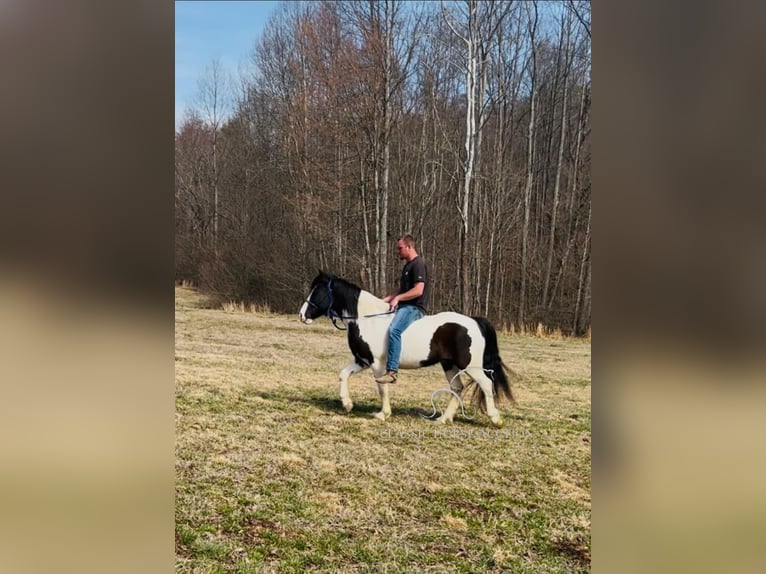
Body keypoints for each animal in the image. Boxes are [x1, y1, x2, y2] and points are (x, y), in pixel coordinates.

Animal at [300, 272, 516, 428]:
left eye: (317, 292)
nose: (302, 315)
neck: (367, 319)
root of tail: (474, 321)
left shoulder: (378, 365)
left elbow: (382, 388)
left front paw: (382, 414)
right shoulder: (362, 360)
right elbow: (343, 374)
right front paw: (347, 404)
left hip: (471, 366)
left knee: (486, 384)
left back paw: (495, 419)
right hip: (449, 364)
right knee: (457, 388)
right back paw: (443, 419)